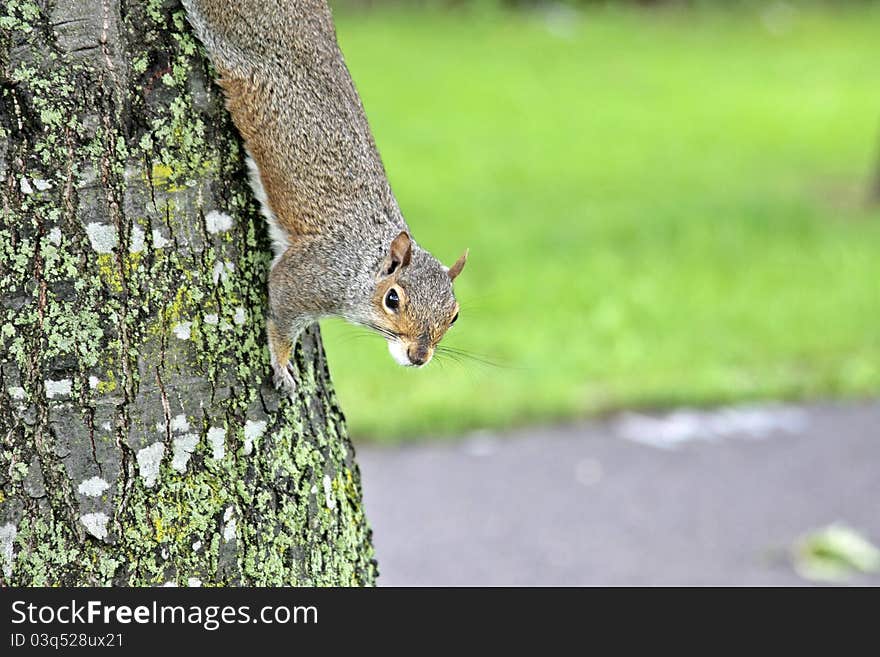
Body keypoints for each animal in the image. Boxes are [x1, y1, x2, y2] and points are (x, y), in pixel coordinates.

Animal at [180, 0, 468, 390]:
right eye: (392, 299)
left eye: (454, 316)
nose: (419, 357)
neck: (360, 264)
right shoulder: (305, 276)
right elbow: (281, 319)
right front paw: (282, 366)